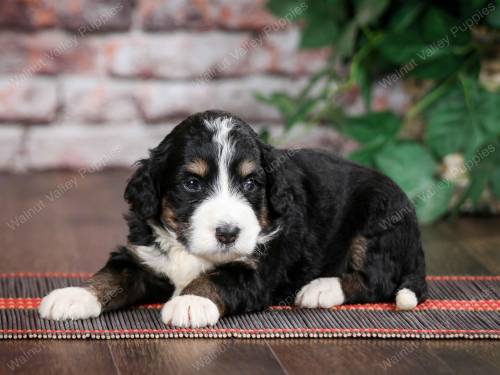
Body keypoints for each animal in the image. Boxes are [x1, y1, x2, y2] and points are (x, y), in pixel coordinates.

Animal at [41, 110, 428, 328]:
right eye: (192, 183)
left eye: (250, 183)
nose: (228, 233)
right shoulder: (143, 255)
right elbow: (112, 274)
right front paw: (74, 296)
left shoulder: (256, 270)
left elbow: (217, 279)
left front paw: (191, 302)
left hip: (378, 217)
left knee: (377, 279)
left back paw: (321, 289)